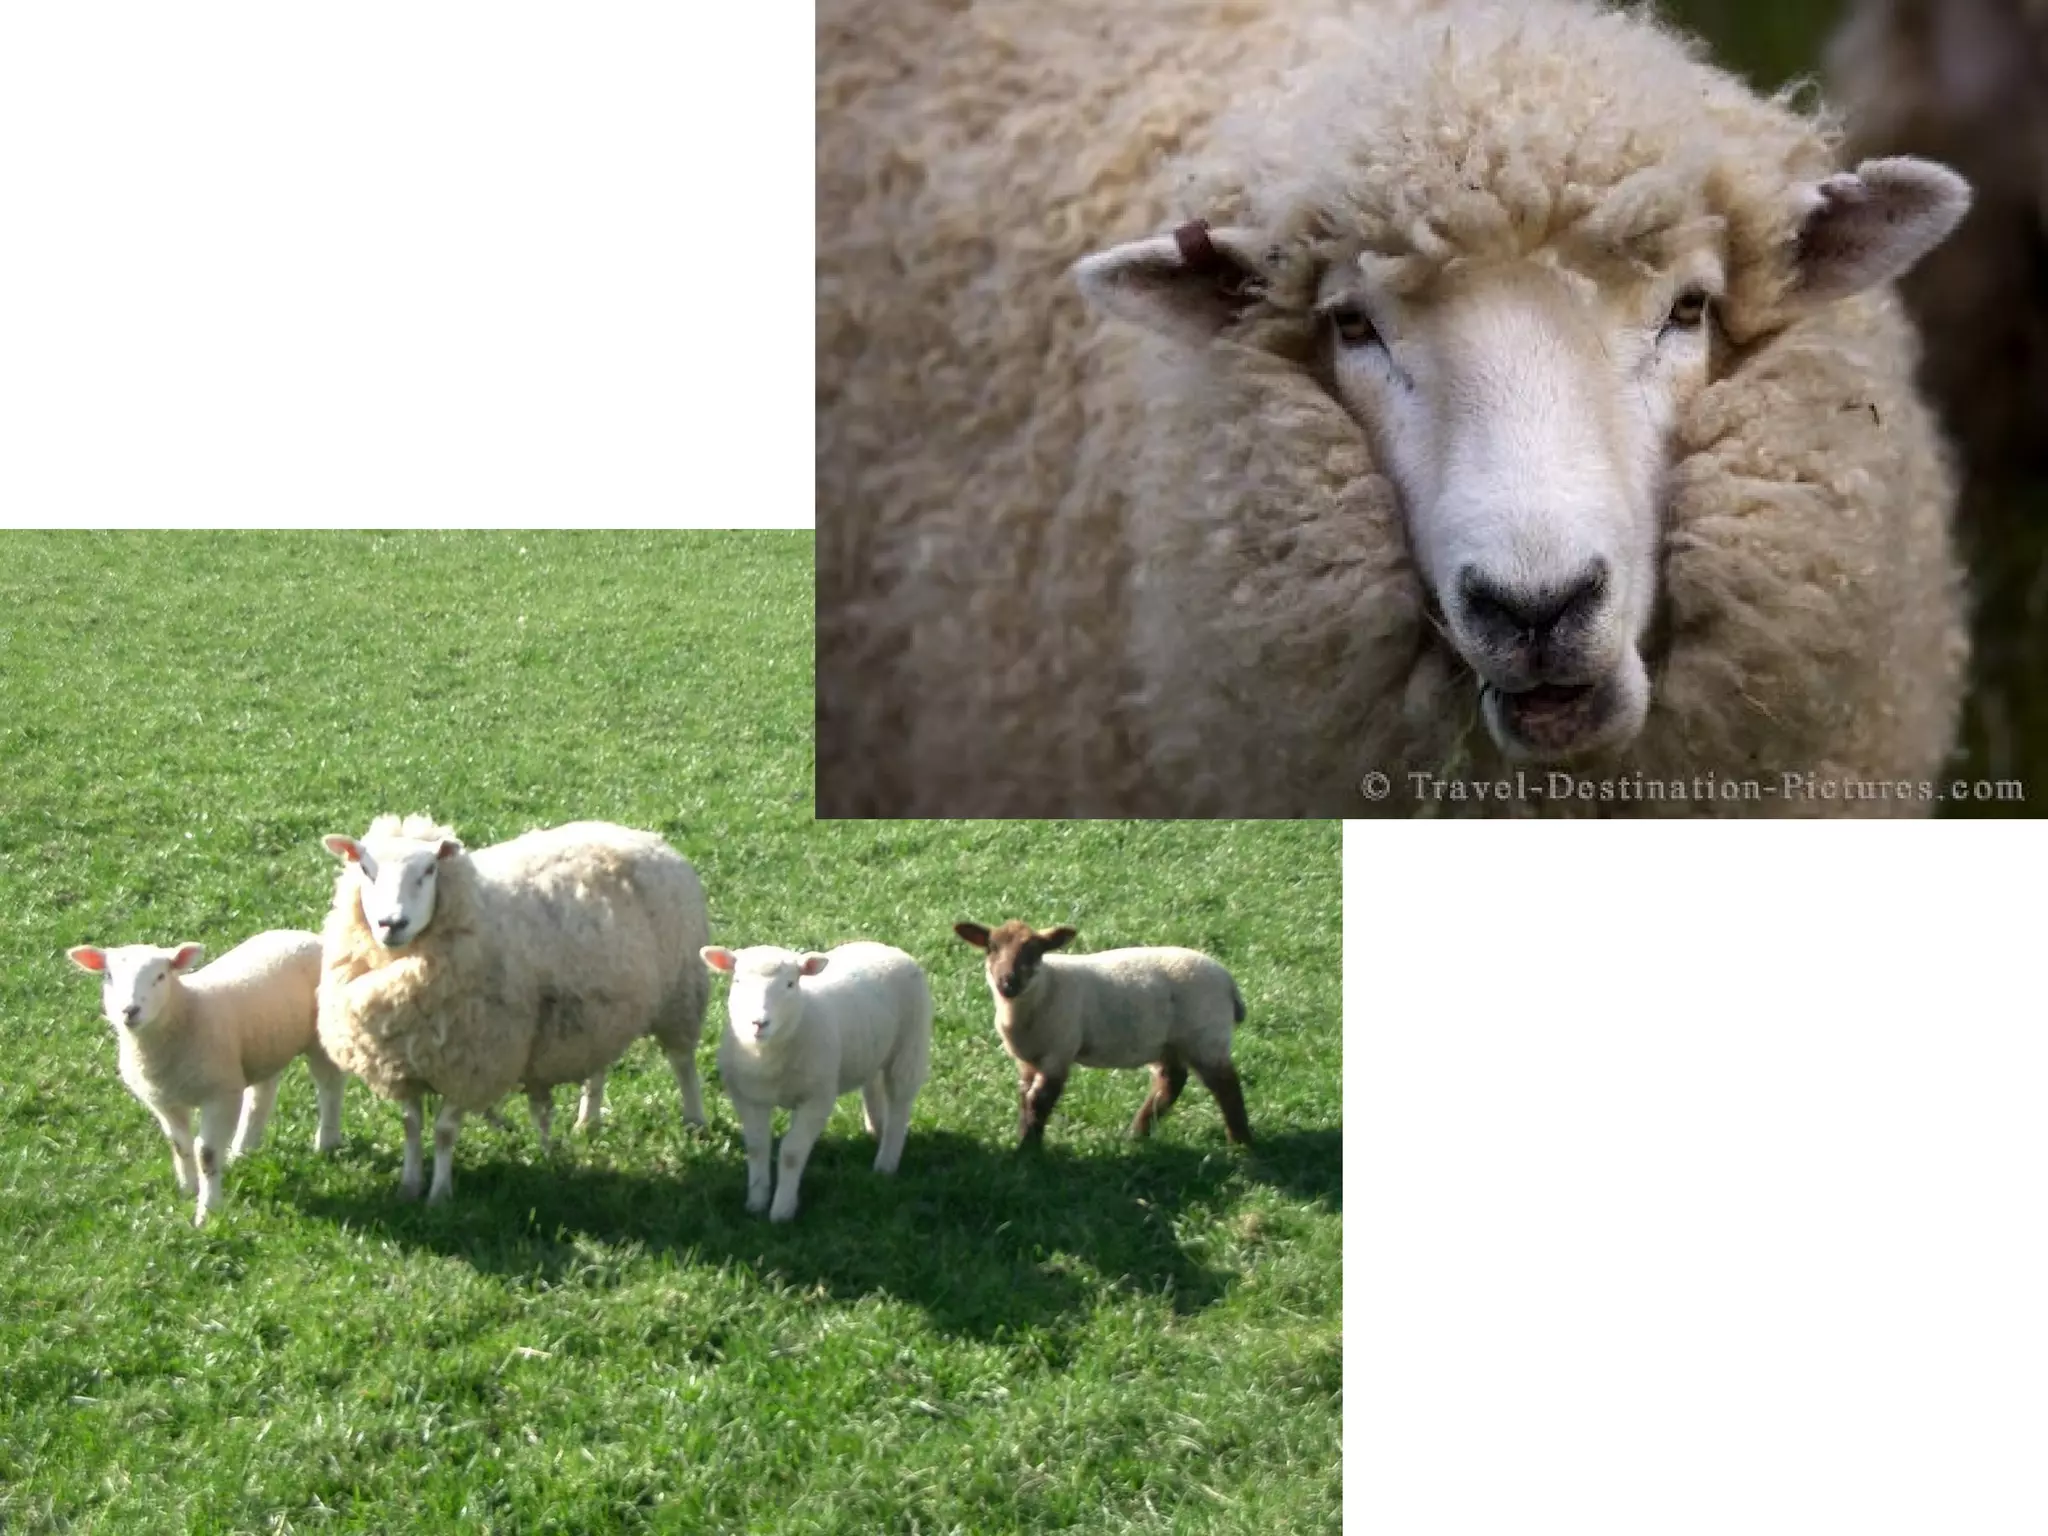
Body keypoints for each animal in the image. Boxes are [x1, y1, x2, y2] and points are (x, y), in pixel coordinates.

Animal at [65, 931, 345, 1226]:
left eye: (161, 976)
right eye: (108, 976)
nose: (129, 1011)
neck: (186, 1011)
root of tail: (306, 936)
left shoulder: (220, 1095)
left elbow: (207, 1154)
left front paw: (208, 1212)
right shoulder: (164, 1100)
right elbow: (180, 1145)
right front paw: (188, 1189)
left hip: (322, 1034)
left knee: (329, 1086)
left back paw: (326, 1142)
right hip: (264, 1045)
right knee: (262, 1094)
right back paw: (243, 1150)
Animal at [317, 815, 710, 1204]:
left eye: (429, 870)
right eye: (365, 868)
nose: (391, 923)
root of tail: (639, 834)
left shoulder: (475, 1063)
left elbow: (444, 1131)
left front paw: (440, 1195)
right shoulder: (404, 1064)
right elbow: (411, 1126)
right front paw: (409, 1186)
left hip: (681, 992)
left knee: (683, 1062)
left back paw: (695, 1121)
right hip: (599, 1010)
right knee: (597, 1068)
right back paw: (588, 1121)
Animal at [701, 941, 932, 1222]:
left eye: (790, 984)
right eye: (737, 980)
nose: (759, 1023)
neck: (766, 1056)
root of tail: (885, 947)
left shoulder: (817, 1099)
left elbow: (791, 1153)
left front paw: (782, 1210)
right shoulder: (748, 1097)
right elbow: (757, 1147)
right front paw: (756, 1202)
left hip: (910, 1045)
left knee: (899, 1103)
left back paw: (885, 1163)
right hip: (871, 1047)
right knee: (872, 1084)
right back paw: (876, 1129)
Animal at [952, 922, 1250, 1147]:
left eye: (1034, 951)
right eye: (991, 948)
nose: (1008, 982)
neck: (1046, 985)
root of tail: (1229, 982)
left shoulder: (1058, 1051)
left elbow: (1041, 1101)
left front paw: (1028, 1150)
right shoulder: (1027, 1060)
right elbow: (1026, 1099)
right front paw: (1025, 1138)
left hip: (1205, 1038)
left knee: (1227, 1086)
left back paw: (1239, 1140)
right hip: (1168, 1042)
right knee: (1172, 1081)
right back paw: (1136, 1134)